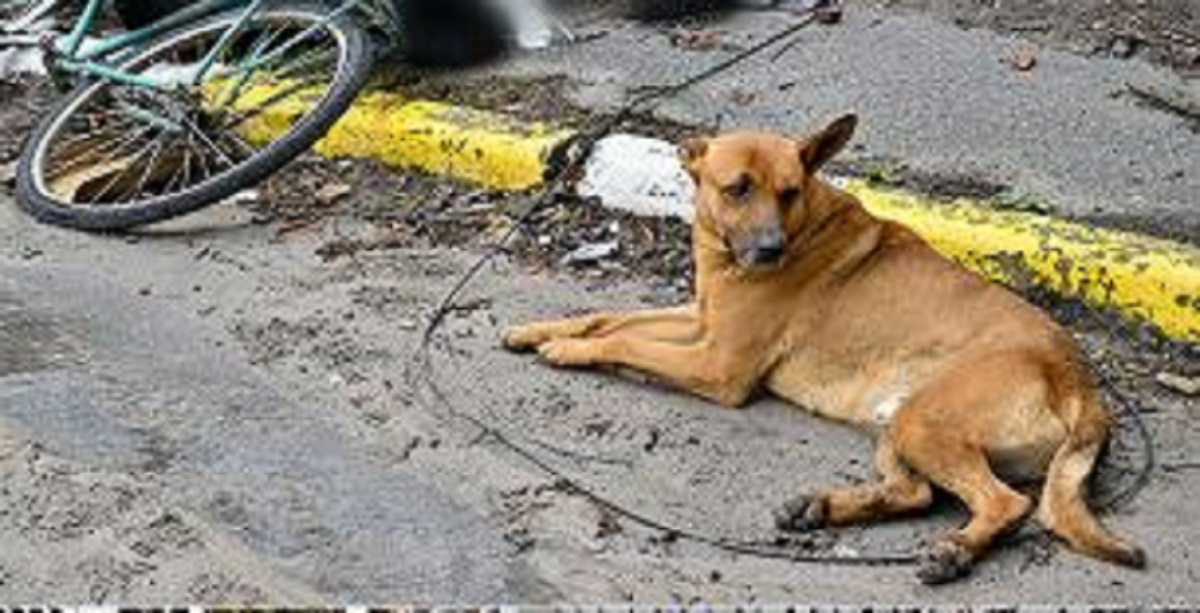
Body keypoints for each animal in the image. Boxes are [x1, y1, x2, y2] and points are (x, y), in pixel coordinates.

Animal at [501, 116, 1147, 585]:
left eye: (788, 192)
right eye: (737, 189)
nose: (769, 250)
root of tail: (1078, 380)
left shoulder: (716, 364)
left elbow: (624, 338)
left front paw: (564, 349)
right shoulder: (700, 320)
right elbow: (609, 316)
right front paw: (538, 328)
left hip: (925, 419)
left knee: (1005, 503)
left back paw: (954, 551)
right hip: (900, 422)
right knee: (915, 493)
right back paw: (822, 509)